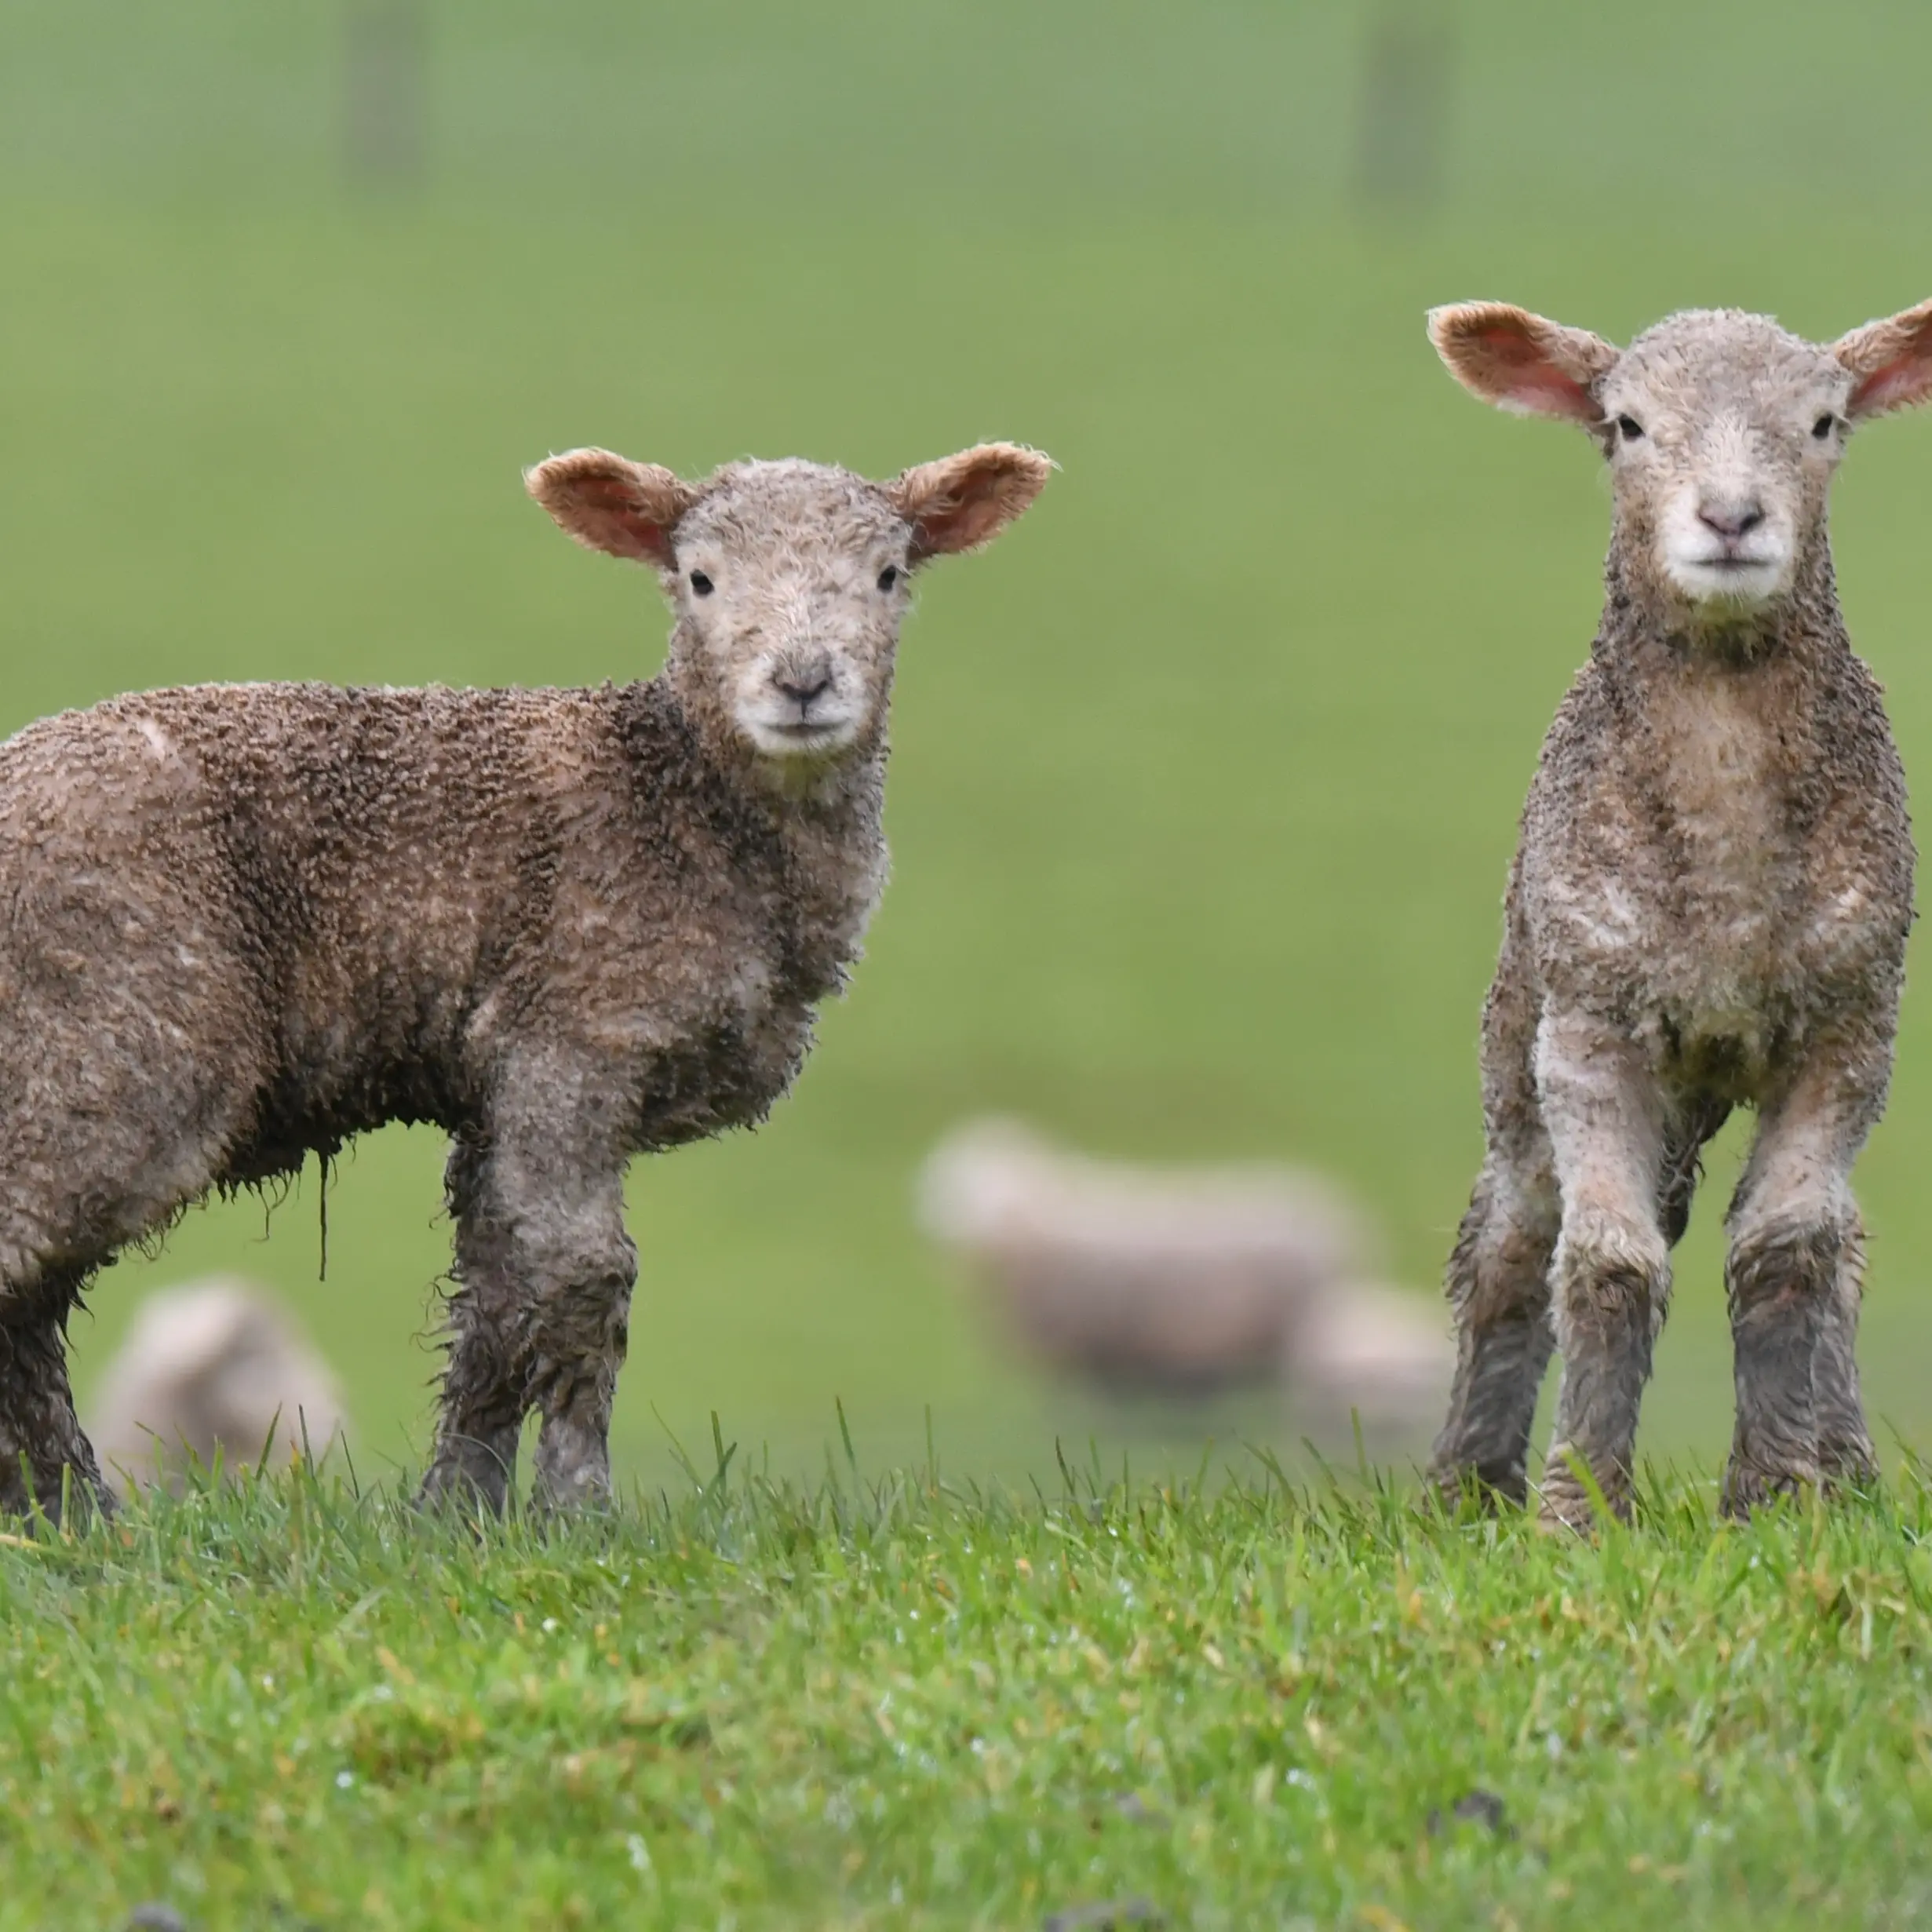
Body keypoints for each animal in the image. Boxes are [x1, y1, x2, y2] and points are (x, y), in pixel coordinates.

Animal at [1424, 297, 1932, 1527]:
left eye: (1823, 421)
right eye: (1626, 423)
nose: (1730, 517)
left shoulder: (1851, 1028)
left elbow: (1786, 1250)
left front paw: (1779, 1493)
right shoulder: (1591, 1026)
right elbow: (1606, 1261)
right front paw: (1575, 1512)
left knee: (1840, 1242)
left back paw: (1847, 1465)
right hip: (1516, 1039)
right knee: (1507, 1242)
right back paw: (1466, 1486)